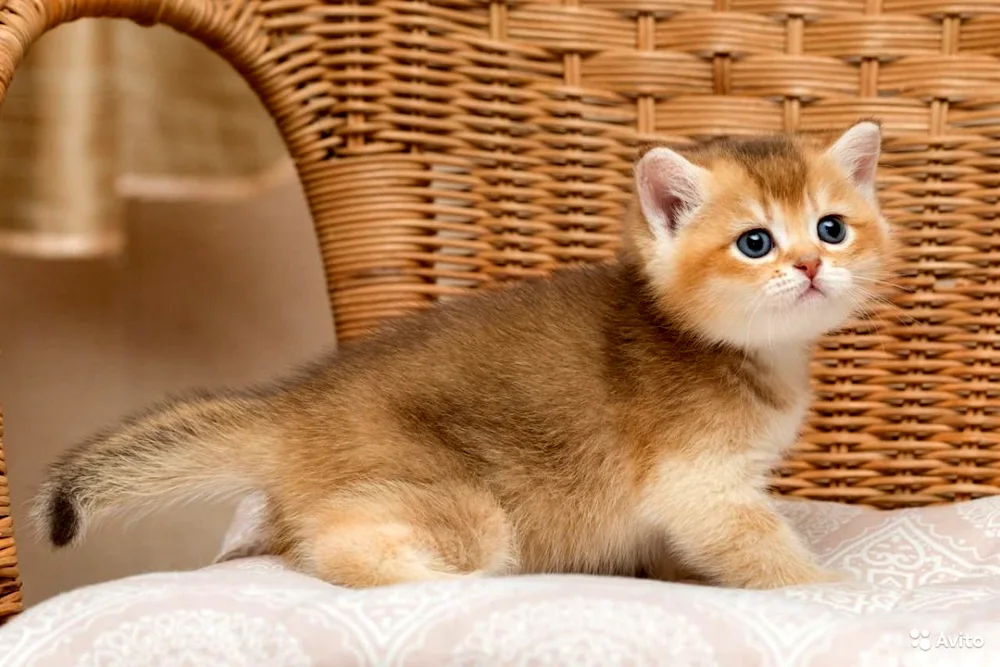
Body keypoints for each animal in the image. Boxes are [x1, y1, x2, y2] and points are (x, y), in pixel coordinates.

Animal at [33, 121, 892, 588]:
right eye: (755, 243)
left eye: (831, 229)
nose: (809, 266)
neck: (734, 351)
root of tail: (293, 409)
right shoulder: (702, 485)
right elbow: (761, 547)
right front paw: (822, 585)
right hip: (465, 504)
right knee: (333, 546)